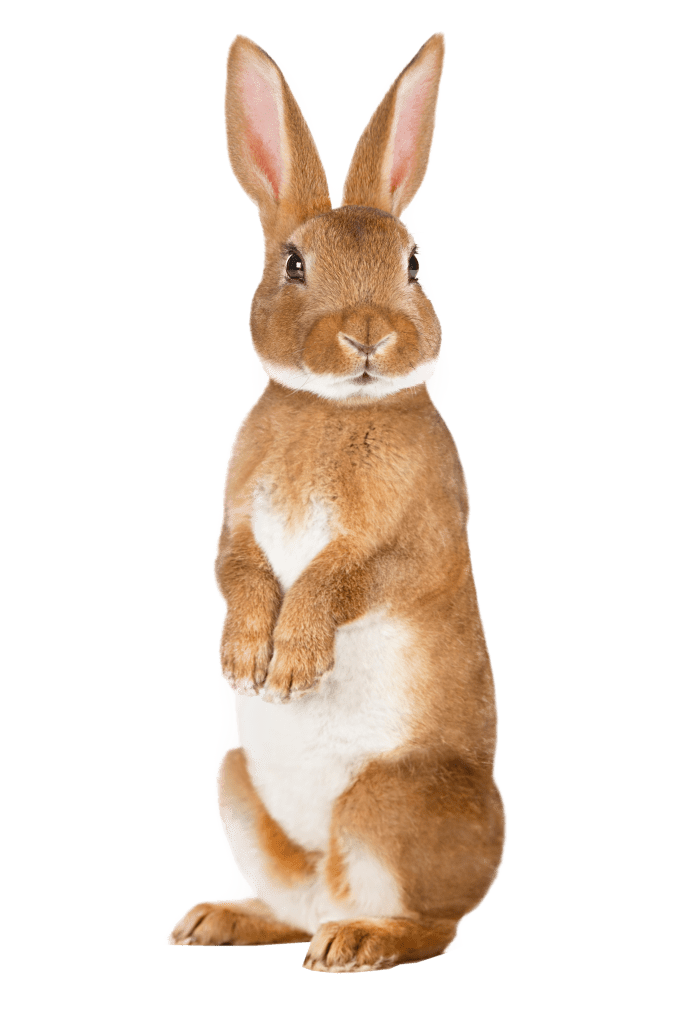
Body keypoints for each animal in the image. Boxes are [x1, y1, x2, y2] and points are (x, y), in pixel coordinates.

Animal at [171, 31, 504, 973]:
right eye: (293, 264)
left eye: (414, 265)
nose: (367, 335)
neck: (333, 408)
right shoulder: (232, 523)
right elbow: (237, 572)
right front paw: (245, 659)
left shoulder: (414, 534)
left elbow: (343, 578)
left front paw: (289, 667)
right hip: (235, 784)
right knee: (296, 904)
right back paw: (218, 921)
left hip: (385, 802)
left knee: (431, 924)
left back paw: (356, 943)